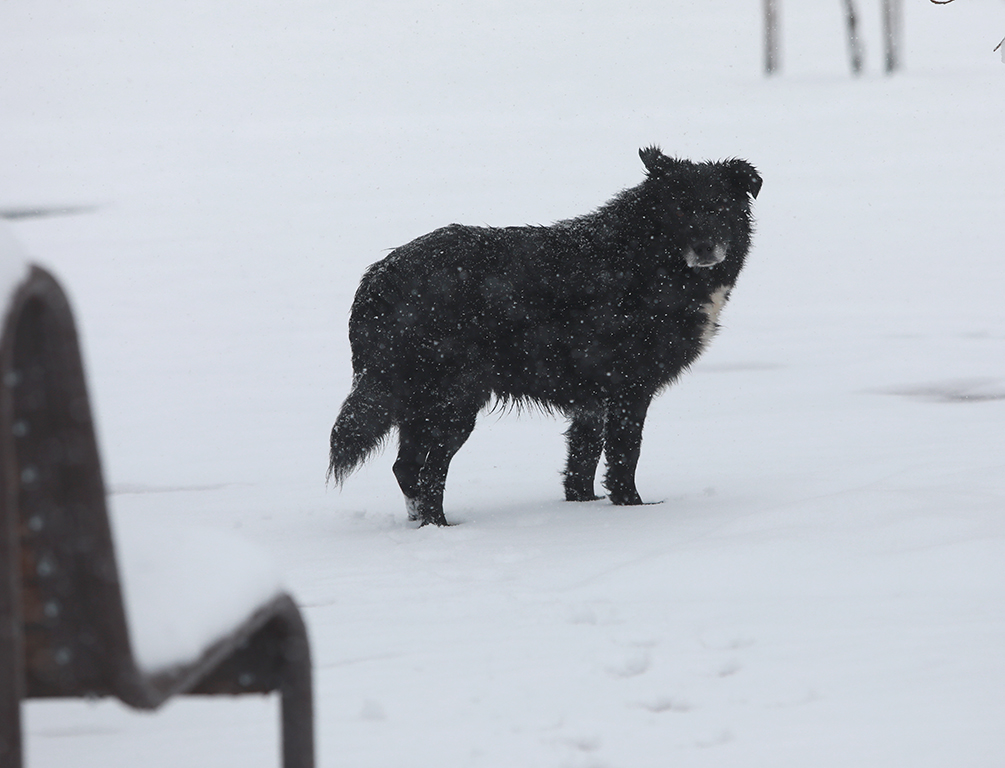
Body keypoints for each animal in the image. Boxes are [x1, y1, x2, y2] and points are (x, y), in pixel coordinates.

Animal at [329, 145, 759, 526]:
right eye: (680, 208)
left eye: (721, 206)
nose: (705, 248)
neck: (646, 257)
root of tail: (378, 278)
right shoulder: (629, 389)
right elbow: (625, 456)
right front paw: (632, 508)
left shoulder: (592, 401)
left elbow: (582, 463)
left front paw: (582, 507)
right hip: (454, 403)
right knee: (428, 471)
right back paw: (441, 527)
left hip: (417, 404)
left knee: (407, 468)